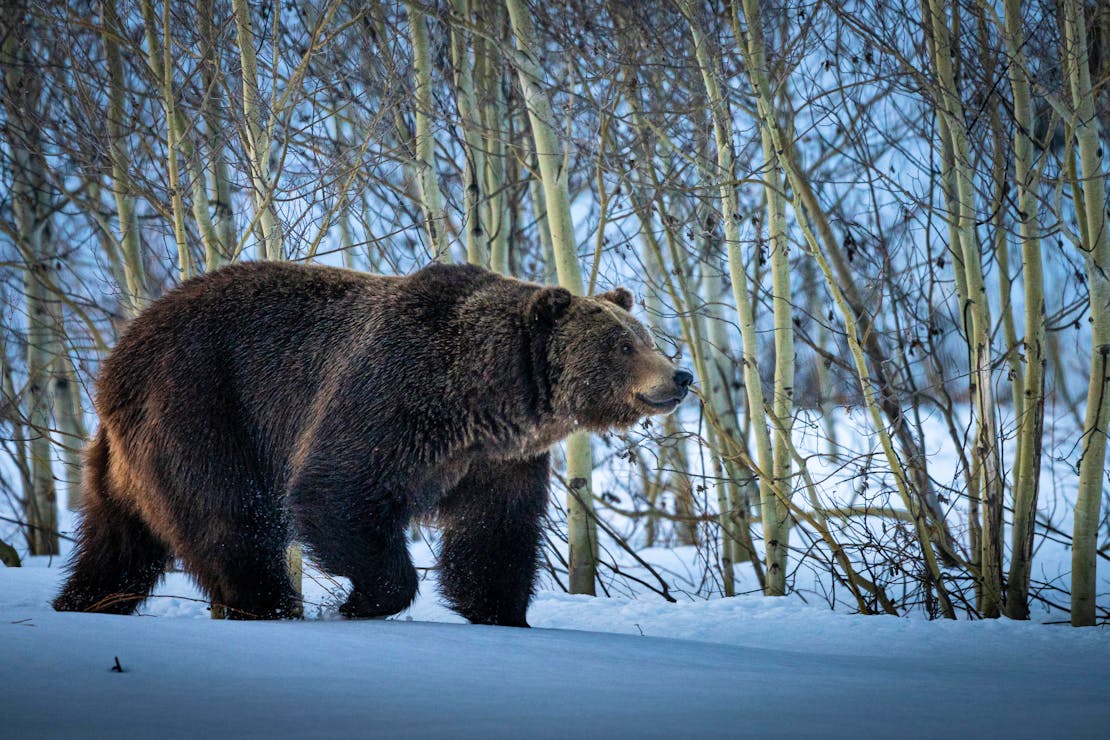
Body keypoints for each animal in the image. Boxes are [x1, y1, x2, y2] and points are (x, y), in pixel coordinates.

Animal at [53, 261, 692, 626]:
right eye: (621, 345)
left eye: (645, 336)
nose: (679, 376)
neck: (485, 397)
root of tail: (117, 355)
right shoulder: (392, 399)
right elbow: (336, 491)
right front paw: (360, 601)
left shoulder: (496, 460)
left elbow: (496, 532)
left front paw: (503, 613)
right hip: (201, 404)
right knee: (228, 518)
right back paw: (269, 605)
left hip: (126, 454)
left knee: (118, 540)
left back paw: (84, 602)